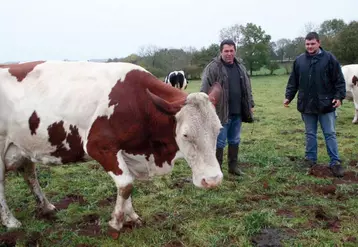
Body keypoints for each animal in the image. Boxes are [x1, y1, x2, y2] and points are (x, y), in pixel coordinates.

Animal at [0, 59, 224, 232]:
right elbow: (126, 184)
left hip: (24, 145)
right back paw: (10, 221)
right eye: (185, 134)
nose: (213, 180)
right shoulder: (99, 147)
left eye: (219, 129)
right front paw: (116, 222)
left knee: (30, 175)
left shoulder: (126, 151)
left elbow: (127, 187)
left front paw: (131, 216)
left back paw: (46, 206)